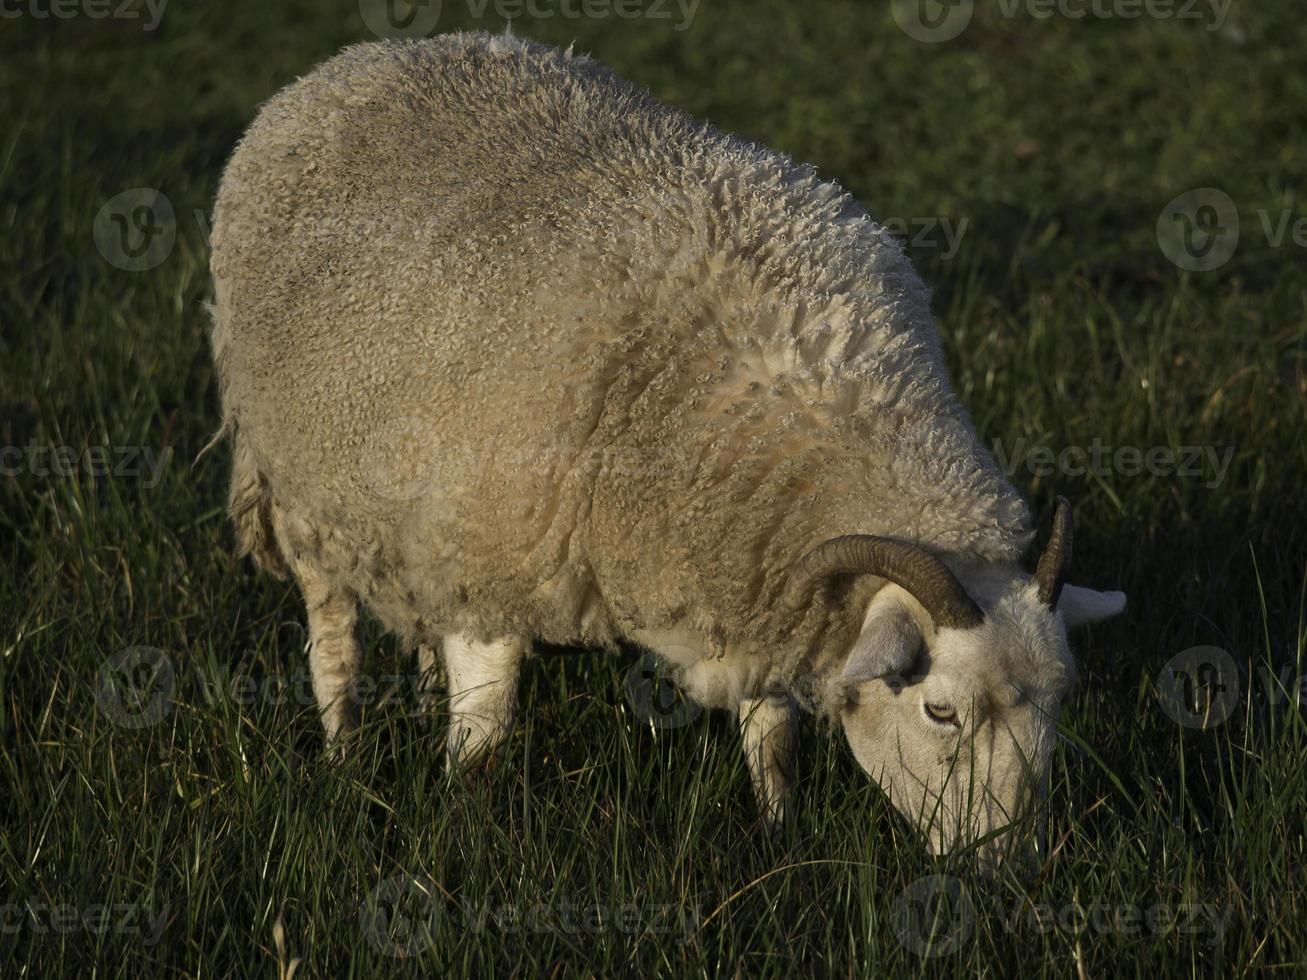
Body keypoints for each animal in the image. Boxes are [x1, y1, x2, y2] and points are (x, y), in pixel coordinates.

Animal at [209, 34, 1129, 872]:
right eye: (940, 711)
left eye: (1058, 703)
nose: (1011, 869)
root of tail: (365, 55)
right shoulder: (492, 562)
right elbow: (479, 747)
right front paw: (461, 843)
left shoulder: (757, 588)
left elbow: (770, 733)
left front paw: (778, 835)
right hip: (303, 490)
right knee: (332, 640)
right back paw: (343, 758)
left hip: (400, 525)